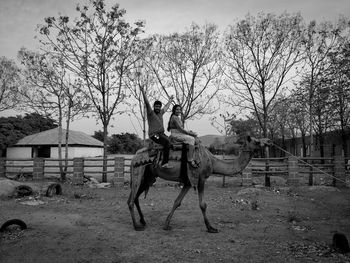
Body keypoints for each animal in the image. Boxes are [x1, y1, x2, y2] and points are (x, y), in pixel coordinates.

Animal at [127, 136, 270, 233]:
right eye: (257, 141)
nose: (268, 141)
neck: (212, 161)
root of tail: (134, 157)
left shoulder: (188, 181)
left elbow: (177, 202)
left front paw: (166, 225)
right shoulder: (201, 178)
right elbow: (203, 205)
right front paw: (211, 227)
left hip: (149, 176)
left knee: (135, 197)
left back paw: (143, 221)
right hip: (139, 170)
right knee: (131, 199)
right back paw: (136, 226)